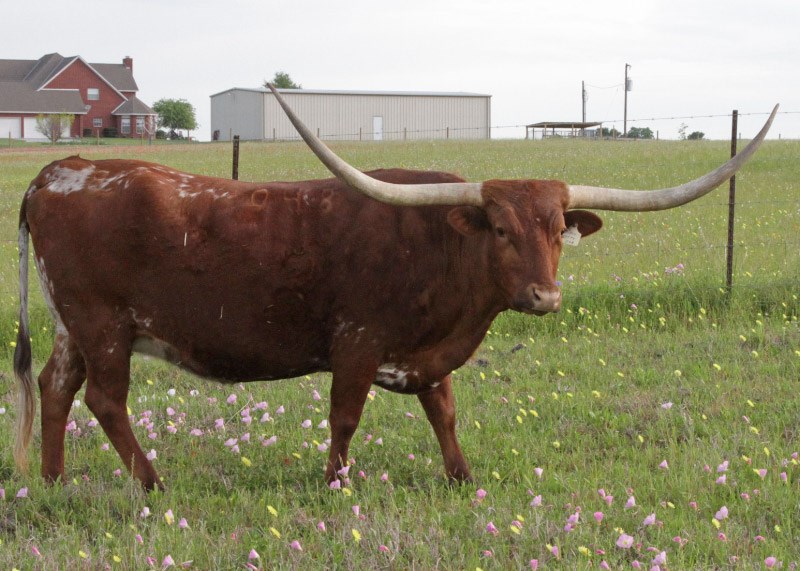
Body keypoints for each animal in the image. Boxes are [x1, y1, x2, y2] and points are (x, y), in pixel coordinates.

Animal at [13, 88, 777, 490]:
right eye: (501, 228)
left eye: (559, 229)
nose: (545, 297)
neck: (438, 244)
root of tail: (61, 169)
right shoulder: (356, 343)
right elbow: (344, 417)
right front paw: (335, 484)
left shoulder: (430, 355)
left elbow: (445, 412)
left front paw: (461, 477)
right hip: (105, 325)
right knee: (104, 399)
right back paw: (151, 482)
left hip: (74, 326)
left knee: (55, 386)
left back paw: (53, 480)